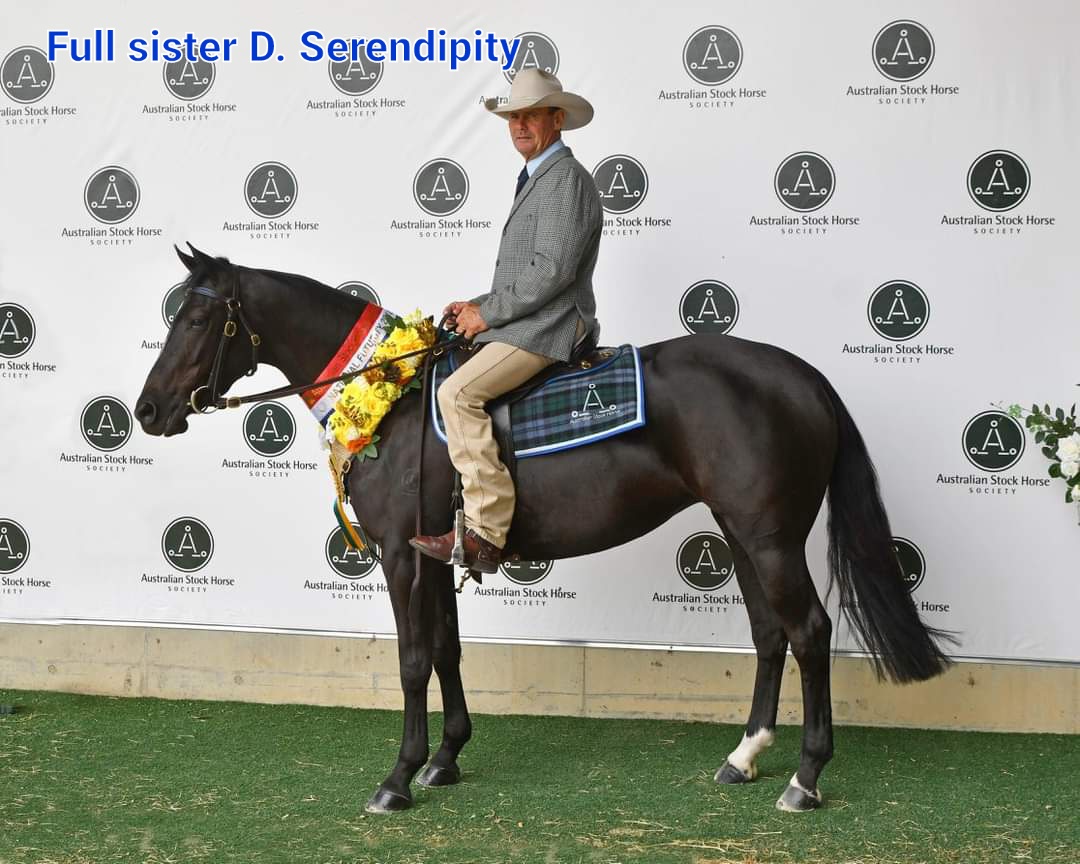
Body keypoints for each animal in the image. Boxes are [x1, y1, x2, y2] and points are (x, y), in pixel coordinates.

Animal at [135, 245, 951, 814]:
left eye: (200, 319)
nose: (146, 411)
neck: (393, 399)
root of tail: (804, 376)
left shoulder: (401, 555)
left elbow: (411, 660)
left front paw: (399, 777)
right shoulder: (438, 552)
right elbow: (448, 650)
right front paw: (447, 760)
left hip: (771, 536)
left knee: (809, 633)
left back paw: (805, 780)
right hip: (742, 533)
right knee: (770, 634)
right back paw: (744, 758)